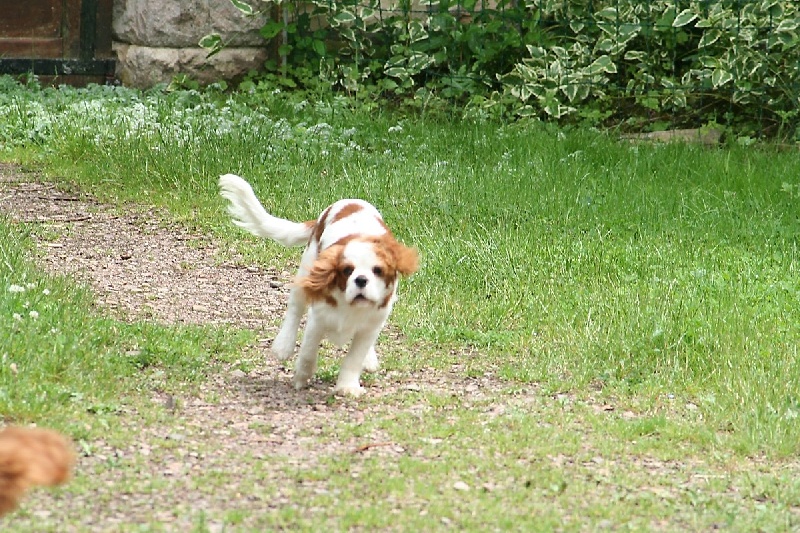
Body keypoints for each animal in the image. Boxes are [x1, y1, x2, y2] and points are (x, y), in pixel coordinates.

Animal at [219, 175, 418, 394]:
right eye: (347, 270)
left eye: (378, 270)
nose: (361, 280)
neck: (350, 306)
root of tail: (349, 202)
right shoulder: (318, 318)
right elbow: (308, 351)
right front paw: (301, 377)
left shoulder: (372, 325)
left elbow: (354, 358)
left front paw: (348, 386)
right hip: (307, 268)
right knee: (295, 308)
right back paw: (283, 345)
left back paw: (369, 359)